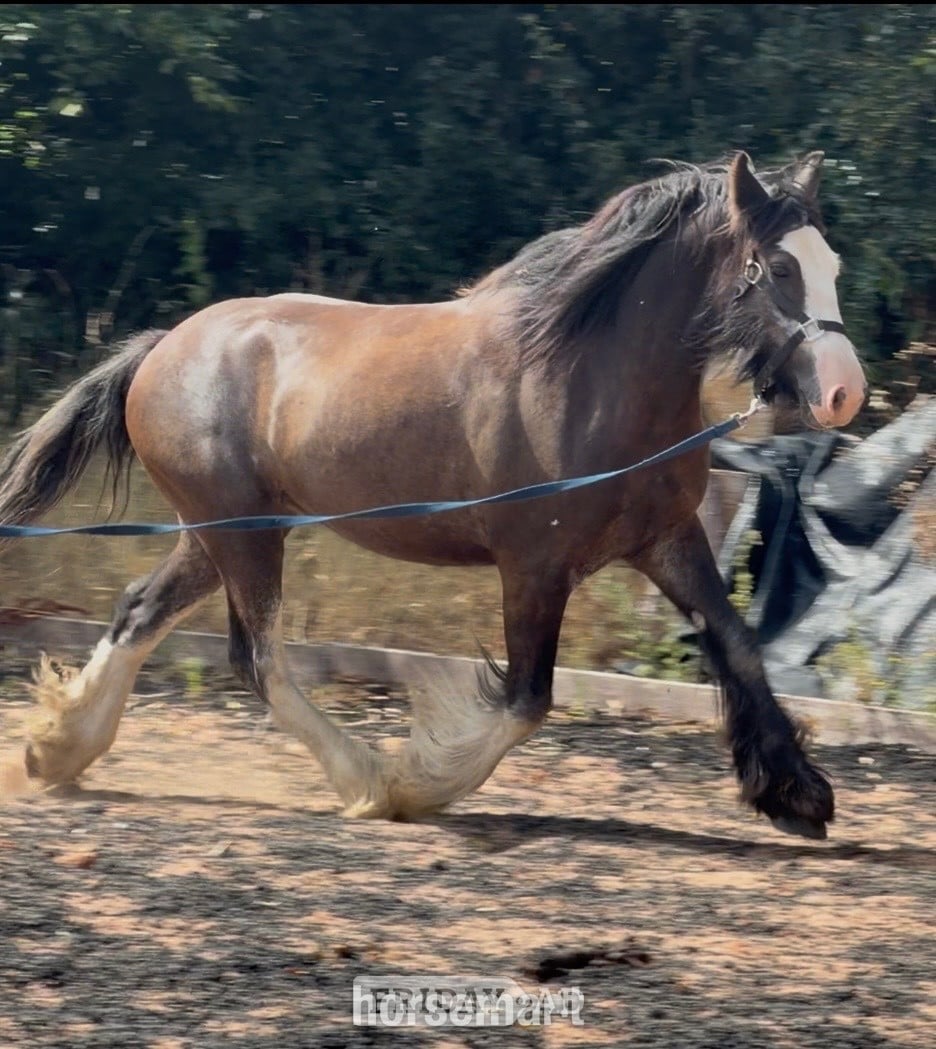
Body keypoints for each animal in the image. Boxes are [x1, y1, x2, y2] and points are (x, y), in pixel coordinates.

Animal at [0, 150, 866, 839]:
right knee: (259, 659)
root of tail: (160, 349)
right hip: (245, 537)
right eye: (779, 268)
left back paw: (57, 749)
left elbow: (739, 644)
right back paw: (365, 778)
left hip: (218, 534)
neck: (591, 377)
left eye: (834, 266)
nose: (845, 394)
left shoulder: (667, 538)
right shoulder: (534, 563)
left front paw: (797, 795)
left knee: (139, 613)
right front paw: (419, 784)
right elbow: (525, 699)